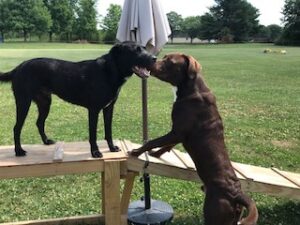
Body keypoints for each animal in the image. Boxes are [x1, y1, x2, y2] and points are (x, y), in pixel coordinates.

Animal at [0, 42, 155, 158]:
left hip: (45, 103)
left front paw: (111, 148)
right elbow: (93, 134)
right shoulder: (94, 110)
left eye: (144, 48)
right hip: (23, 102)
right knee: (17, 128)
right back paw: (18, 151)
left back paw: (46, 141)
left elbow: (108, 131)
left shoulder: (109, 108)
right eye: (135, 51)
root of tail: (18, 67)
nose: (154, 58)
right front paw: (95, 152)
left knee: (39, 122)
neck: (109, 70)